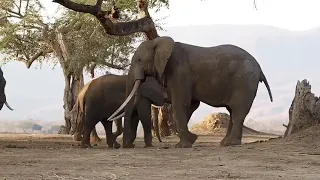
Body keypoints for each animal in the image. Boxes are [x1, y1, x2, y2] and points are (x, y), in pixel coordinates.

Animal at [107, 35, 272, 148]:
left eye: (139, 60)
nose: (125, 146)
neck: (157, 42)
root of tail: (259, 68)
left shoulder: (180, 72)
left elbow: (181, 103)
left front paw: (182, 146)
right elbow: (191, 104)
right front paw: (191, 139)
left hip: (245, 81)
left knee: (238, 110)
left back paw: (231, 143)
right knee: (233, 111)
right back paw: (224, 143)